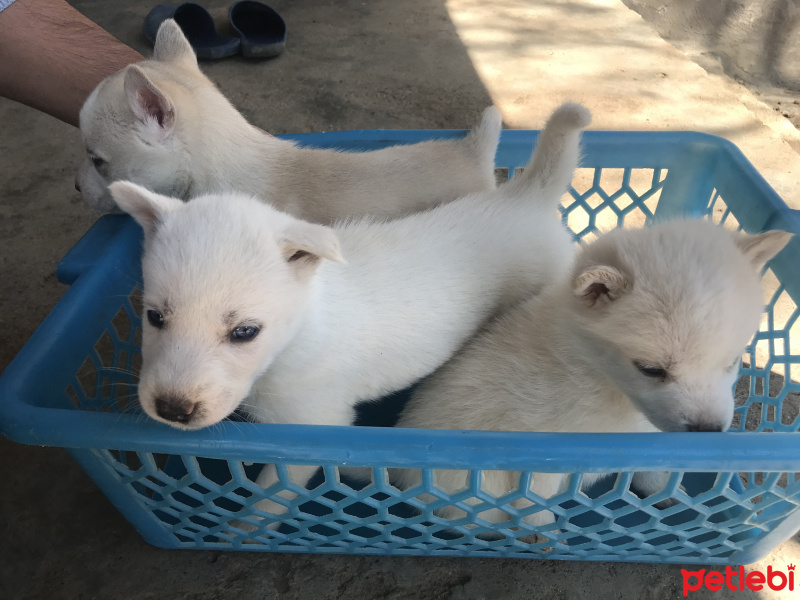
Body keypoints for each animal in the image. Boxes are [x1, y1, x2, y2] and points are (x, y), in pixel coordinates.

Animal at [109, 102, 592, 520]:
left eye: (245, 332)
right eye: (155, 317)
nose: (172, 409)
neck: (297, 335)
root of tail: (524, 196)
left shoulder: (314, 426)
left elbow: (267, 500)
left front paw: (244, 529)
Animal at [394, 219, 792, 540]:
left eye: (732, 361)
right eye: (651, 369)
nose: (708, 431)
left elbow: (650, 472)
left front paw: (668, 493)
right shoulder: (538, 453)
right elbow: (533, 506)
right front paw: (543, 535)